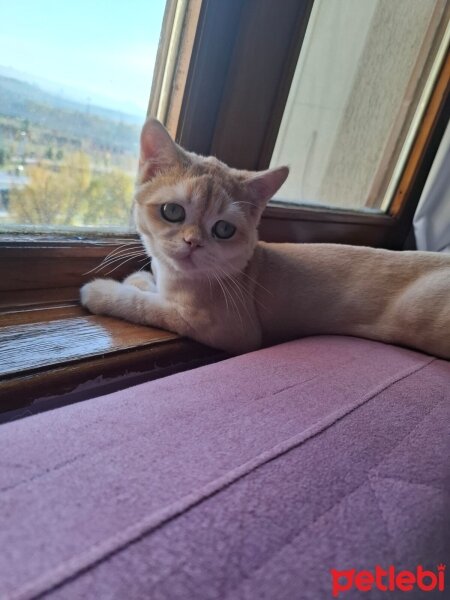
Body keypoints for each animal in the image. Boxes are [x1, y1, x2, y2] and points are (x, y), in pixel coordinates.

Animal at [80, 119, 450, 358]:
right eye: (173, 211)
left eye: (223, 229)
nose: (192, 243)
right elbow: (153, 288)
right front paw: (143, 279)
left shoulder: (228, 328)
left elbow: (149, 306)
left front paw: (104, 291)